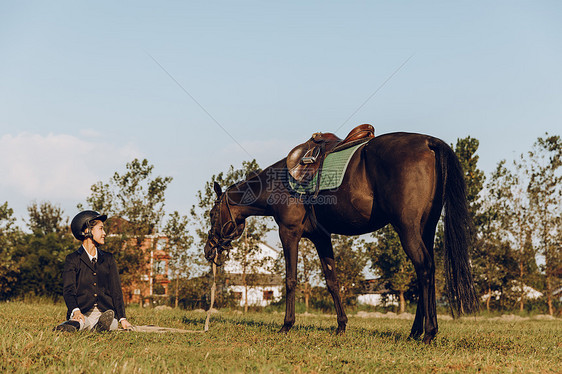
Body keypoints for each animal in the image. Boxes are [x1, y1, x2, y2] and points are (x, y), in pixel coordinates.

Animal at [205, 132, 476, 344]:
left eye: (211, 214)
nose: (209, 250)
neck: (279, 183)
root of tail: (429, 142)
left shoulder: (289, 233)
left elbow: (290, 280)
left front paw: (287, 325)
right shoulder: (321, 238)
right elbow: (332, 281)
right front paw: (341, 325)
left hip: (408, 229)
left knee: (425, 268)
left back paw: (428, 332)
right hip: (425, 230)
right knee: (426, 273)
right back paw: (415, 332)